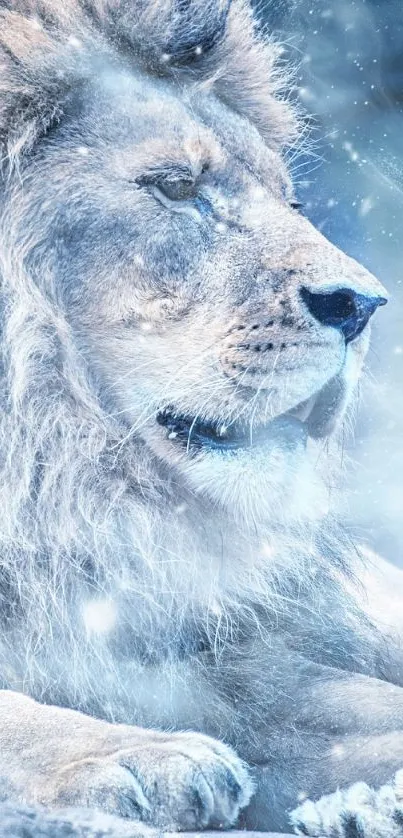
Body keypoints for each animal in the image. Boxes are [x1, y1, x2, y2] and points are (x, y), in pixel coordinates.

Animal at [0, 0, 401, 836]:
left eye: (291, 203)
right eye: (177, 189)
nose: (362, 305)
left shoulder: (201, 661)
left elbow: (341, 706)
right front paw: (132, 755)